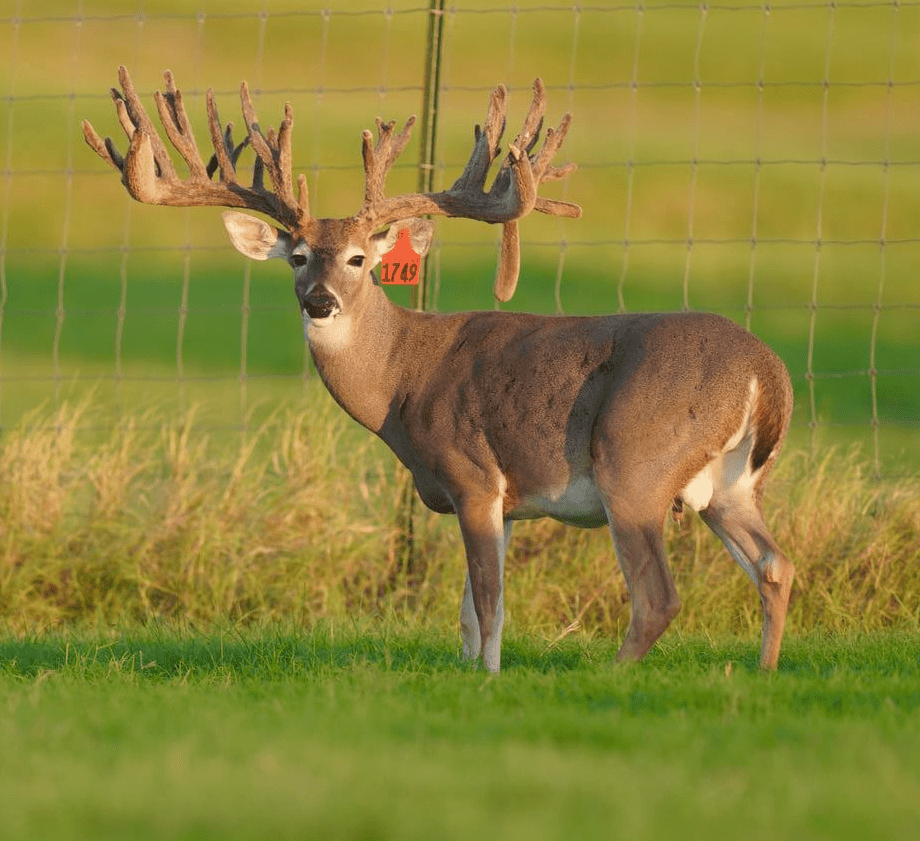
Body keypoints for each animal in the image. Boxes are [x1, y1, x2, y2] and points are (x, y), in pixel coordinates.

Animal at [83, 67, 795, 672]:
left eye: (359, 259)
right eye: (298, 257)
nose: (320, 302)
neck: (401, 380)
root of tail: (768, 374)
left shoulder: (472, 474)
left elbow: (488, 604)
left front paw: (489, 679)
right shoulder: (502, 503)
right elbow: (468, 615)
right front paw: (470, 672)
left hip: (636, 460)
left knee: (658, 596)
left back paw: (613, 675)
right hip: (731, 485)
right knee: (775, 565)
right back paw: (762, 672)